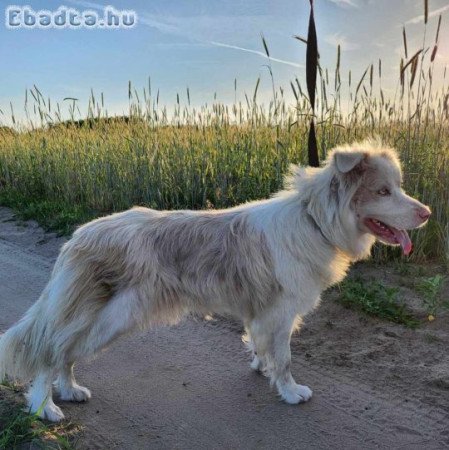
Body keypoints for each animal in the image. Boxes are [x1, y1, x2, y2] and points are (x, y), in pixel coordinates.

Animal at [0, 142, 430, 422]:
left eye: (398, 188)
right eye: (383, 191)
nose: (426, 213)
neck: (315, 221)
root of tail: (79, 236)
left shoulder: (265, 315)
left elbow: (262, 347)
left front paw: (261, 366)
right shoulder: (280, 312)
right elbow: (286, 359)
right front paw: (291, 393)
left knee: (64, 352)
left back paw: (69, 390)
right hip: (112, 317)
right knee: (51, 352)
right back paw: (46, 407)